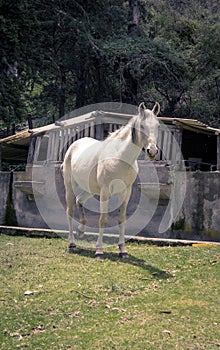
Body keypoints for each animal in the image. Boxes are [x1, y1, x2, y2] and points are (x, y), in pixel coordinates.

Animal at [62, 102, 160, 258]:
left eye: (157, 125)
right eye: (142, 126)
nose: (153, 151)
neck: (120, 157)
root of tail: (73, 145)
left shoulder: (125, 192)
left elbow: (122, 219)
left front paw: (123, 250)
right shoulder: (105, 192)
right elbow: (103, 220)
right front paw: (99, 251)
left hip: (90, 190)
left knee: (80, 201)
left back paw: (81, 230)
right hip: (70, 187)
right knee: (70, 211)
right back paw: (72, 243)